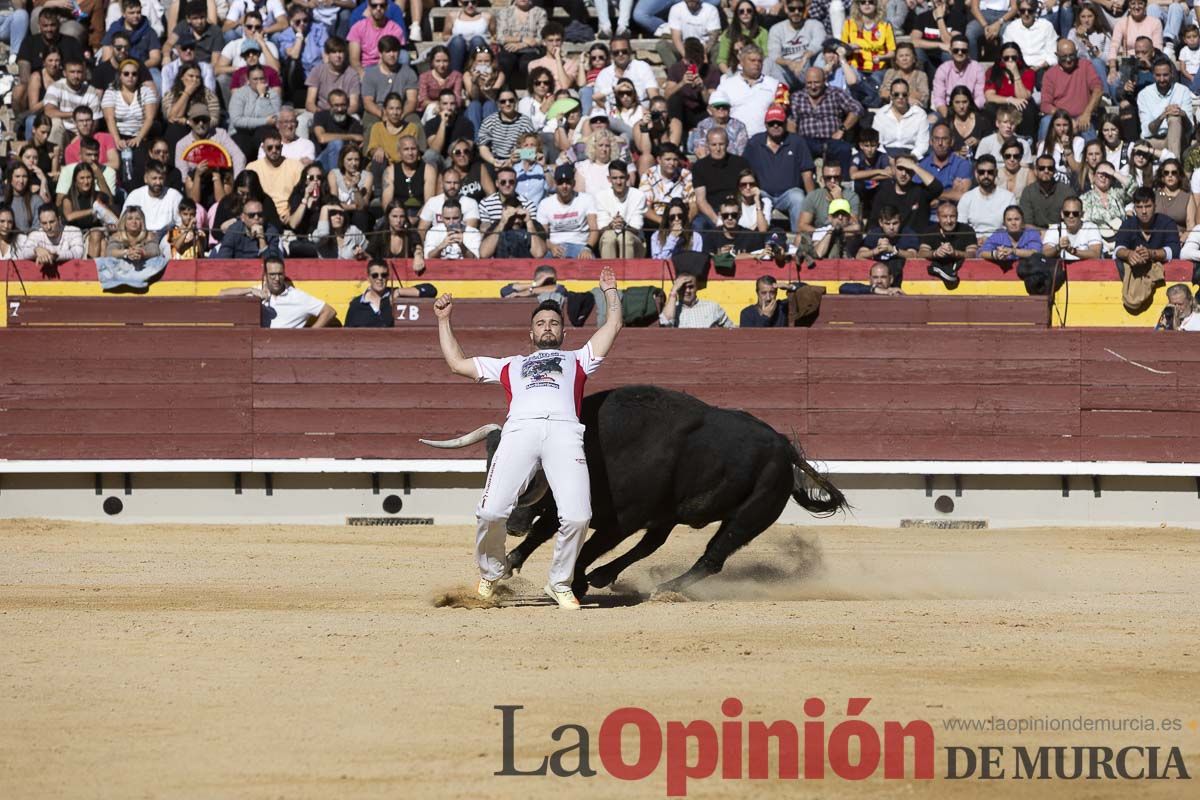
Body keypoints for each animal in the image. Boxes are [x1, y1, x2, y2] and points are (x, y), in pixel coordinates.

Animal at [427, 383, 849, 597]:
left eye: (531, 472)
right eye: (490, 465)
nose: (510, 523)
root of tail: (784, 446)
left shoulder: (621, 520)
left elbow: (584, 546)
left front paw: (573, 583)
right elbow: (548, 530)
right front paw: (512, 564)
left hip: (750, 515)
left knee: (713, 556)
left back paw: (664, 587)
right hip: (670, 514)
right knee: (652, 544)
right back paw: (606, 578)